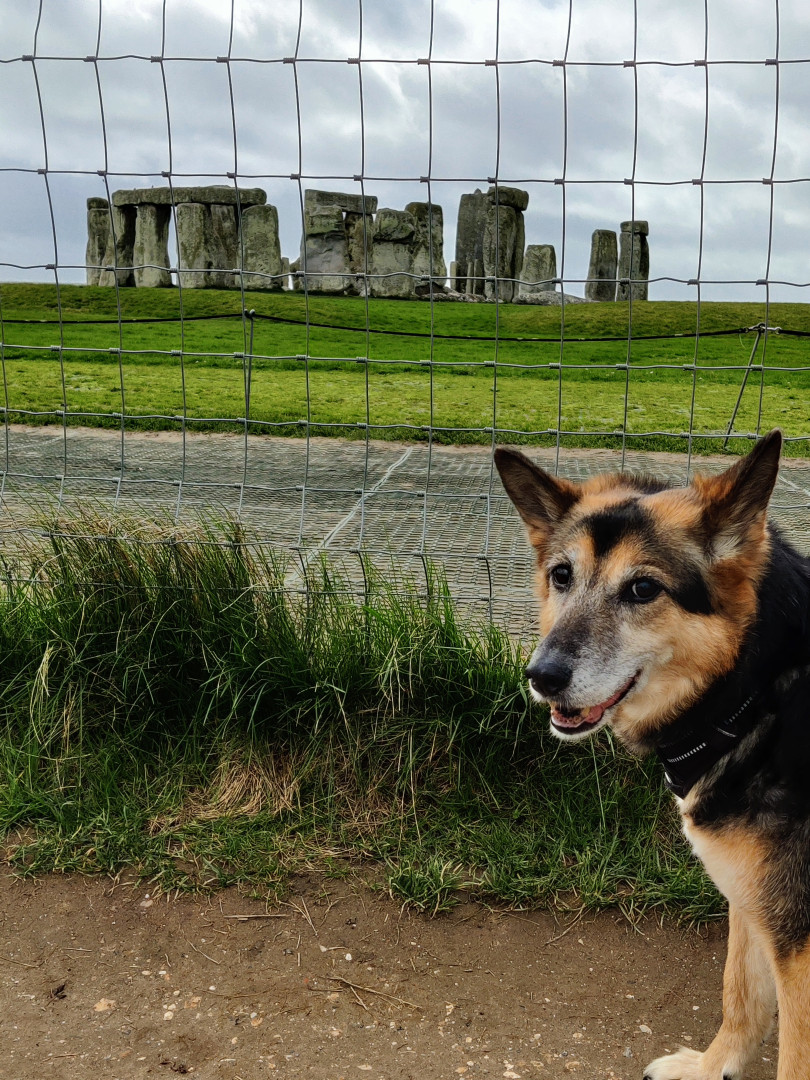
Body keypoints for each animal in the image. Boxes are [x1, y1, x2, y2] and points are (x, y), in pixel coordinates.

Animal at [494, 432, 810, 1080]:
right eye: (561, 575)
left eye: (643, 588)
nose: (542, 677)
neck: (755, 692)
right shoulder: (753, 898)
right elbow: (740, 994)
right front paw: (712, 1067)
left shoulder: (796, 938)